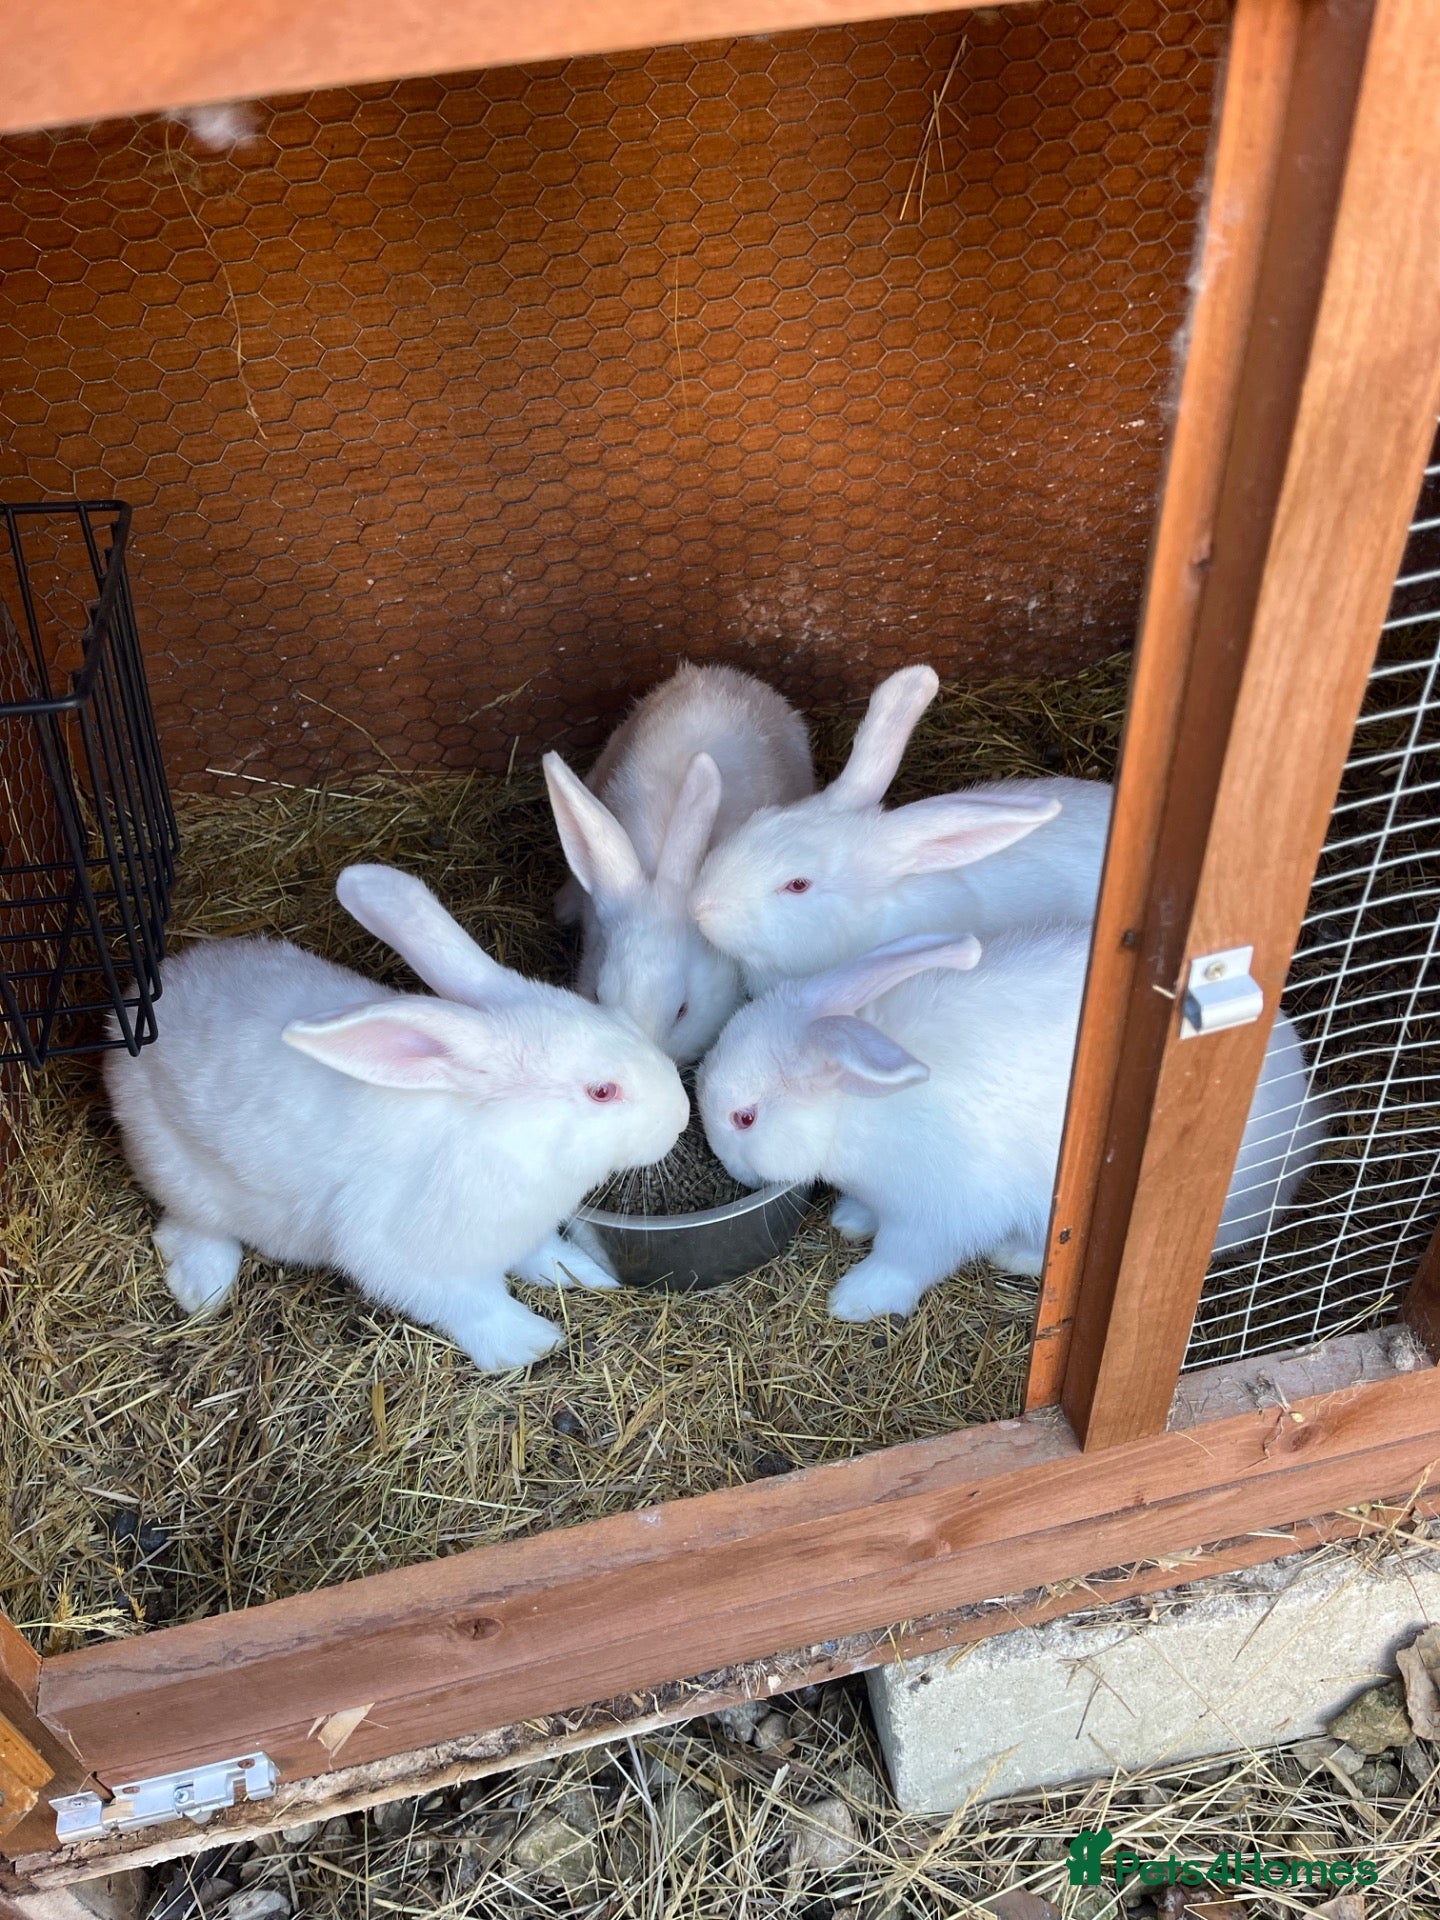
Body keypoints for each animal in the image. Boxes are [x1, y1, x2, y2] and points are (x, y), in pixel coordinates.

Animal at [103, 865, 689, 1372]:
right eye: (602, 1091)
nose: (681, 1116)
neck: (499, 1133)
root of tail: (128, 1014)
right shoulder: (405, 1255)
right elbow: (473, 1305)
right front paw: (530, 1343)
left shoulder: (523, 1233)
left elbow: (541, 1255)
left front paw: (581, 1274)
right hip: (175, 1165)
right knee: (191, 1226)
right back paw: (202, 1286)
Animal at [697, 927, 1330, 1322]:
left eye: (744, 1118)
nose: (729, 1167)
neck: (857, 1107)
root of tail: (1303, 1128)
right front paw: (851, 1220)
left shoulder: (938, 1214)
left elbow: (904, 1259)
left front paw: (855, 1301)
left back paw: (1018, 1256)